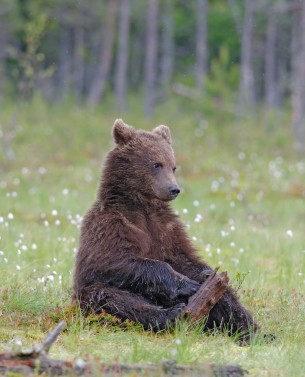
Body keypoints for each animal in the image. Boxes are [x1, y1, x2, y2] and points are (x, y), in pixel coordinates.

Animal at [72, 119, 258, 340]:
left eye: (173, 166)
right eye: (156, 164)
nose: (174, 189)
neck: (143, 207)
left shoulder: (167, 227)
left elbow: (184, 258)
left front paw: (204, 276)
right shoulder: (112, 225)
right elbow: (115, 260)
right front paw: (188, 285)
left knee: (227, 299)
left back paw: (251, 331)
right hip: (87, 298)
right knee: (112, 297)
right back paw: (171, 314)